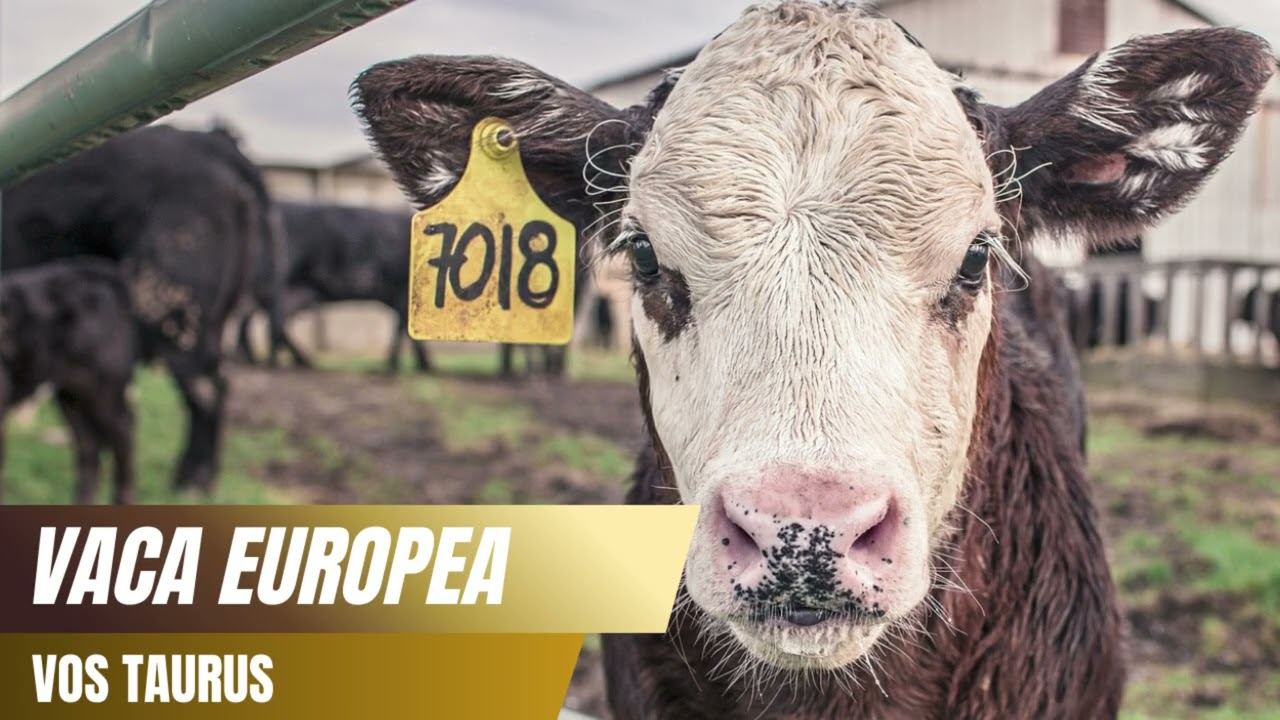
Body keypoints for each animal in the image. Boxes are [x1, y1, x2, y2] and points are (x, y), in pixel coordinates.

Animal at [234, 201, 433, 373]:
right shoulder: (401, 290)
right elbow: (402, 328)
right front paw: (396, 367)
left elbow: (406, 329)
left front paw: (422, 366)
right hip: (276, 283)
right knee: (267, 319)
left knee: (263, 318)